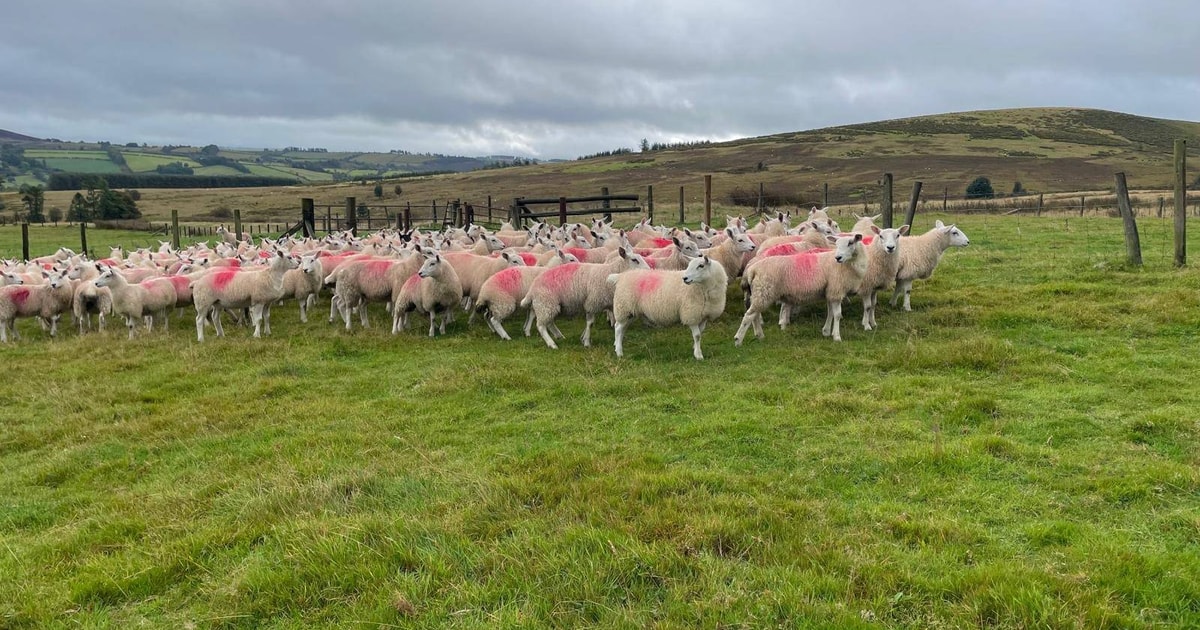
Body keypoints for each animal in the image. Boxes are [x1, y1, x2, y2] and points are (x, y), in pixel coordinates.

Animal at [522, 247, 651, 349]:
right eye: (634, 260)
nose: (649, 271)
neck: (609, 273)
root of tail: (531, 289)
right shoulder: (592, 302)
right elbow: (590, 323)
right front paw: (587, 342)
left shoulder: (608, 304)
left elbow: (613, 322)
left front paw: (584, 338)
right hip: (546, 302)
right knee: (541, 326)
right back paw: (552, 344)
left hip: (551, 305)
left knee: (549, 322)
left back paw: (559, 336)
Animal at [734, 233, 868, 344]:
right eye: (837, 244)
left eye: (850, 243)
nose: (838, 257)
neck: (848, 266)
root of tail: (753, 269)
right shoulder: (836, 290)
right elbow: (837, 315)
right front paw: (837, 337)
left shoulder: (830, 291)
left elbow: (830, 313)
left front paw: (826, 331)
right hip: (764, 292)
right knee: (749, 315)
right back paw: (738, 340)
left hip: (759, 294)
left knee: (755, 315)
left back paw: (759, 335)